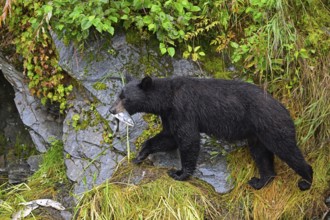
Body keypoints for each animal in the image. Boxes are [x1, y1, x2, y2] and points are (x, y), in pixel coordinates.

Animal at [109, 76, 314, 190]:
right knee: (262, 155)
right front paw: (140, 155)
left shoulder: (184, 109)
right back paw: (260, 181)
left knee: (288, 151)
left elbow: (188, 139)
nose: (111, 109)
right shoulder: (169, 115)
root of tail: (286, 111)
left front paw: (179, 173)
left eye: (125, 98)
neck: (167, 98)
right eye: (119, 95)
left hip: (273, 127)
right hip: (258, 135)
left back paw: (306, 180)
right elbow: (169, 137)